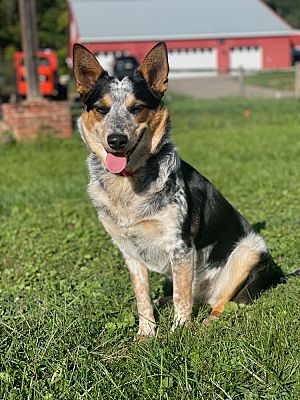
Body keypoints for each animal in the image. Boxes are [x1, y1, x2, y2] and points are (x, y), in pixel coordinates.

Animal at [73, 41, 300, 334]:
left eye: (136, 108)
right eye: (102, 109)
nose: (116, 140)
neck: (126, 183)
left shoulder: (180, 247)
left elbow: (182, 298)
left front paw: (179, 332)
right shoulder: (129, 252)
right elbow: (143, 297)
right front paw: (145, 334)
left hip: (248, 252)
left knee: (222, 303)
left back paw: (206, 323)